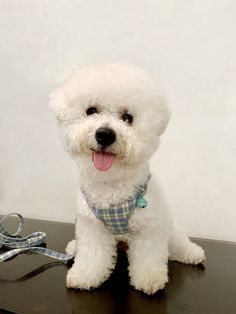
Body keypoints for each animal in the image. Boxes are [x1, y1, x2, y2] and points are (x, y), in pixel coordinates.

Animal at [49, 63, 205, 294]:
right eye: (91, 111)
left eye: (127, 118)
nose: (105, 134)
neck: (111, 185)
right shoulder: (91, 226)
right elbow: (92, 256)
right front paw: (84, 275)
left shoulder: (149, 229)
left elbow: (148, 258)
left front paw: (149, 279)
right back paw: (74, 246)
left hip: (169, 229)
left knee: (178, 242)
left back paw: (193, 253)